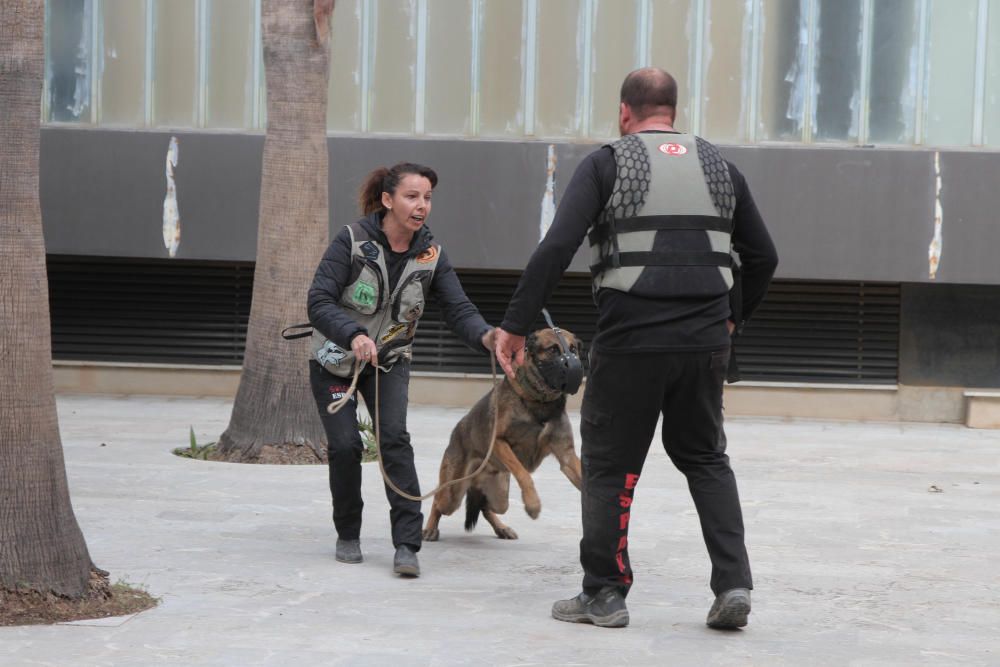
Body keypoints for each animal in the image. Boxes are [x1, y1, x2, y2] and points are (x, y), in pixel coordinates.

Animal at [424, 328, 584, 544]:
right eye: (553, 349)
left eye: (573, 349)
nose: (576, 370)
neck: (539, 401)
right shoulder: (500, 443)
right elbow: (524, 474)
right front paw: (533, 504)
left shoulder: (566, 456)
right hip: (452, 494)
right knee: (437, 500)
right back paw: (430, 528)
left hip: (499, 497)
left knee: (485, 507)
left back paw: (502, 528)